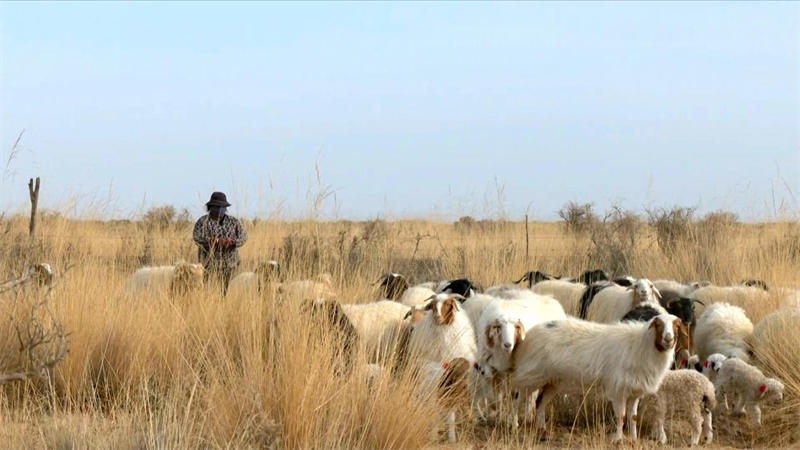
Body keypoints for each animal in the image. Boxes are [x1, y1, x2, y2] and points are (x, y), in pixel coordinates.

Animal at [504, 312, 680, 440]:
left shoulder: (634, 392)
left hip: (552, 381)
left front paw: (634, 439)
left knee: (540, 403)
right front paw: (618, 440)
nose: (668, 339)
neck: (641, 346)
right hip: (530, 375)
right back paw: (513, 426)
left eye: (677, 326)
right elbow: (621, 417)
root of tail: (527, 337)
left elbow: (633, 418)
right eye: (658, 325)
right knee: (516, 399)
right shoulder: (618, 390)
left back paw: (543, 431)